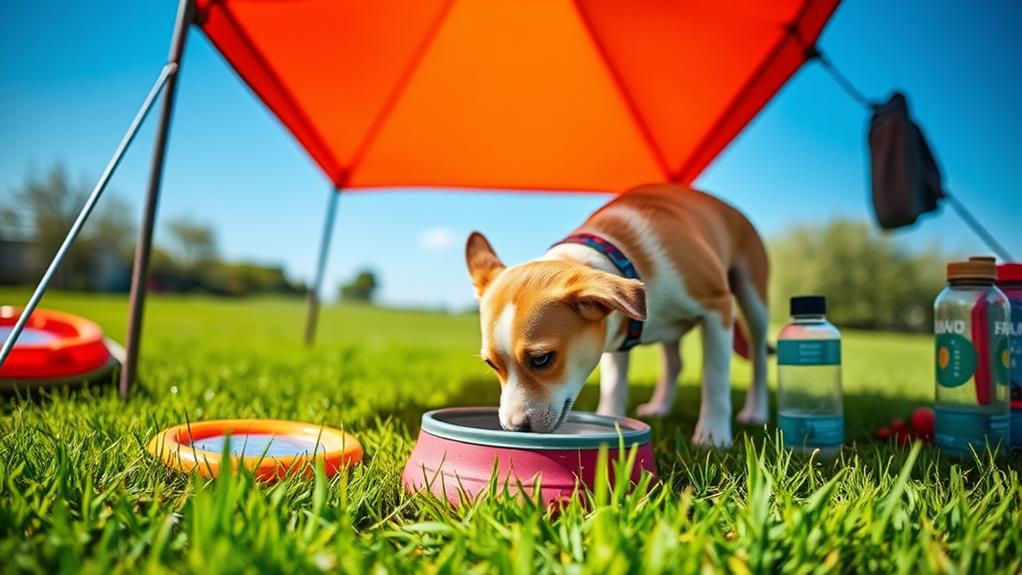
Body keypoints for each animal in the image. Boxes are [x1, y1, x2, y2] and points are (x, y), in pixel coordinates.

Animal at [466, 183, 768, 445]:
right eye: (491, 364)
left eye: (541, 359)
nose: (514, 428)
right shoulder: (616, 329)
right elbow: (614, 384)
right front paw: (610, 419)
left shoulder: (718, 307)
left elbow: (715, 375)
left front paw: (713, 435)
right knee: (674, 362)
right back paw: (660, 406)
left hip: (753, 295)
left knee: (759, 356)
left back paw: (756, 411)